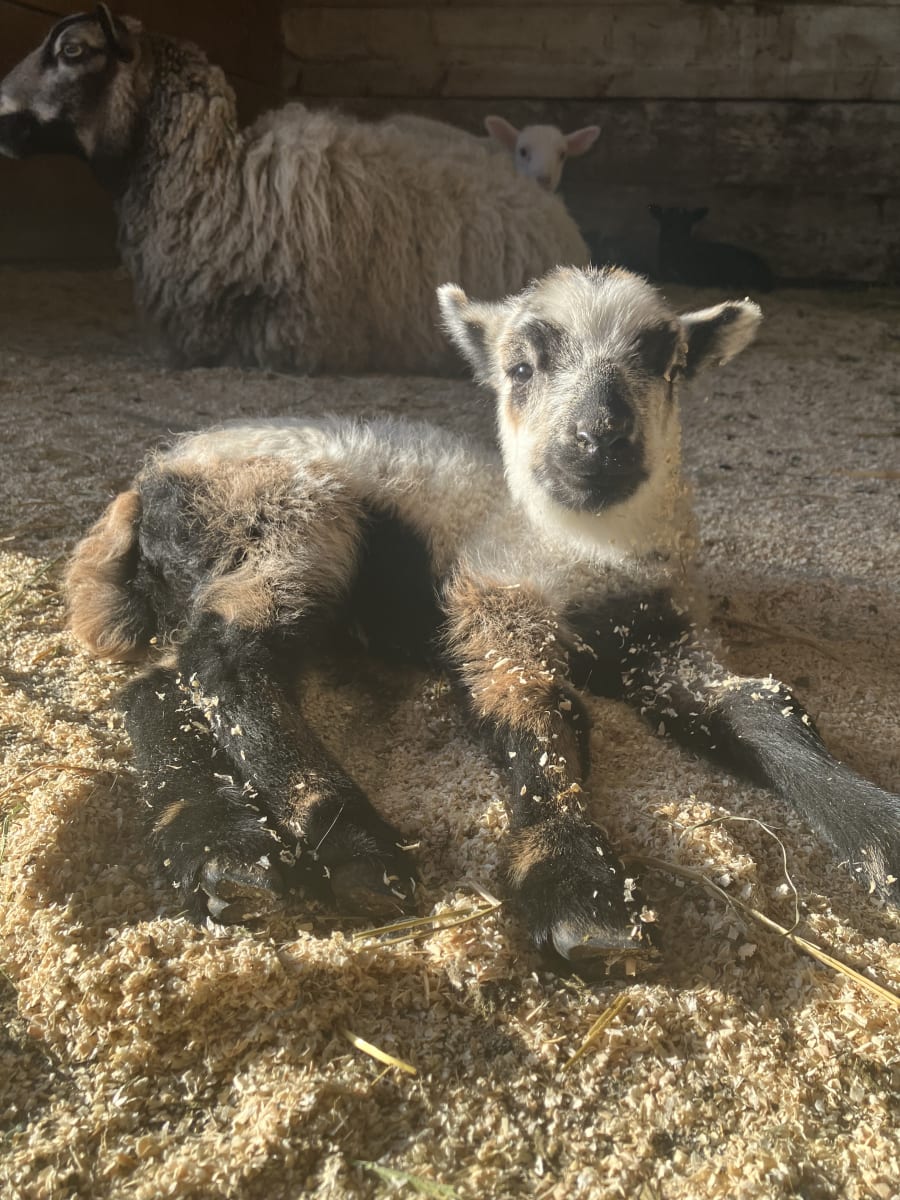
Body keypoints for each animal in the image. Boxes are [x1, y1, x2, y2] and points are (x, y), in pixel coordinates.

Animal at [65, 265, 900, 972]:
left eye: (666, 364)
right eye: (521, 368)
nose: (599, 438)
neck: (583, 552)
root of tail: (150, 479)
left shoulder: (661, 641)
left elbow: (765, 707)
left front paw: (879, 832)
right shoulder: (495, 608)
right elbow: (539, 718)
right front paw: (581, 894)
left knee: (159, 689)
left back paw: (219, 851)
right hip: (283, 522)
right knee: (225, 662)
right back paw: (336, 843)